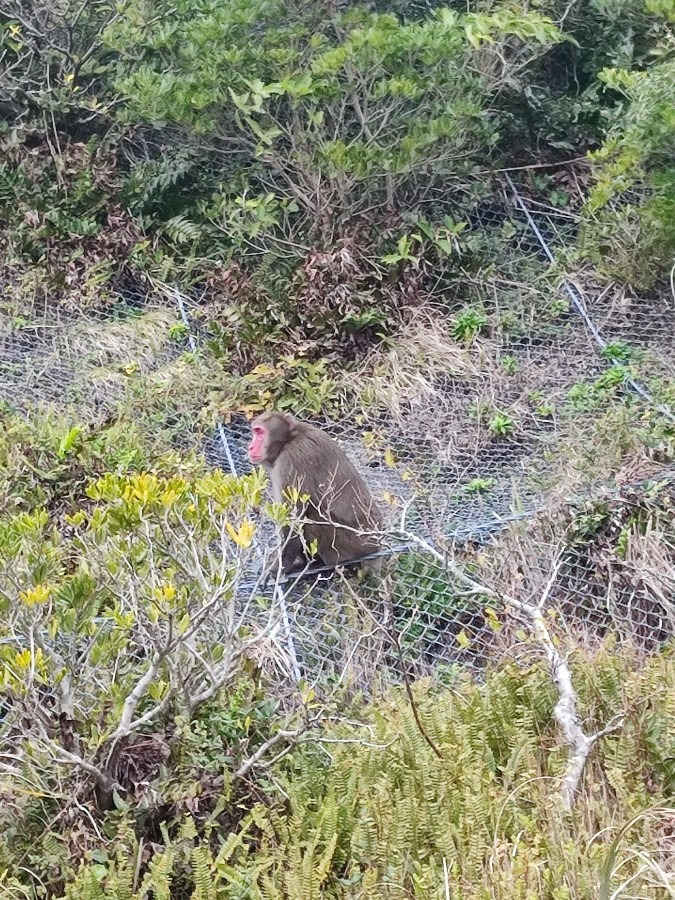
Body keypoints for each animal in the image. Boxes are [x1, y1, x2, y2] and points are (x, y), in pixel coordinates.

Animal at [248, 412, 386, 580]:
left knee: (310, 517)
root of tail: (375, 545)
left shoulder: (292, 460)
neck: (290, 439)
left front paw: (277, 569)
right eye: (255, 432)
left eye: (260, 432)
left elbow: (294, 520)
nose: (250, 446)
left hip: (348, 546)